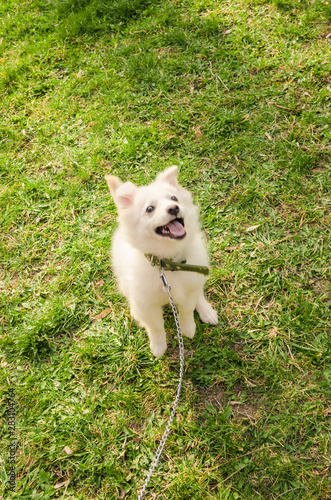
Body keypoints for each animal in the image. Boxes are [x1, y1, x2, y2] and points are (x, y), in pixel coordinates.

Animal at [105, 166, 218, 358]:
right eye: (150, 208)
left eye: (174, 198)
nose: (173, 208)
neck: (168, 263)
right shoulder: (147, 304)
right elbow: (156, 327)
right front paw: (158, 346)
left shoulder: (189, 287)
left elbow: (187, 310)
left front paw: (188, 328)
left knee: (199, 293)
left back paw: (206, 310)